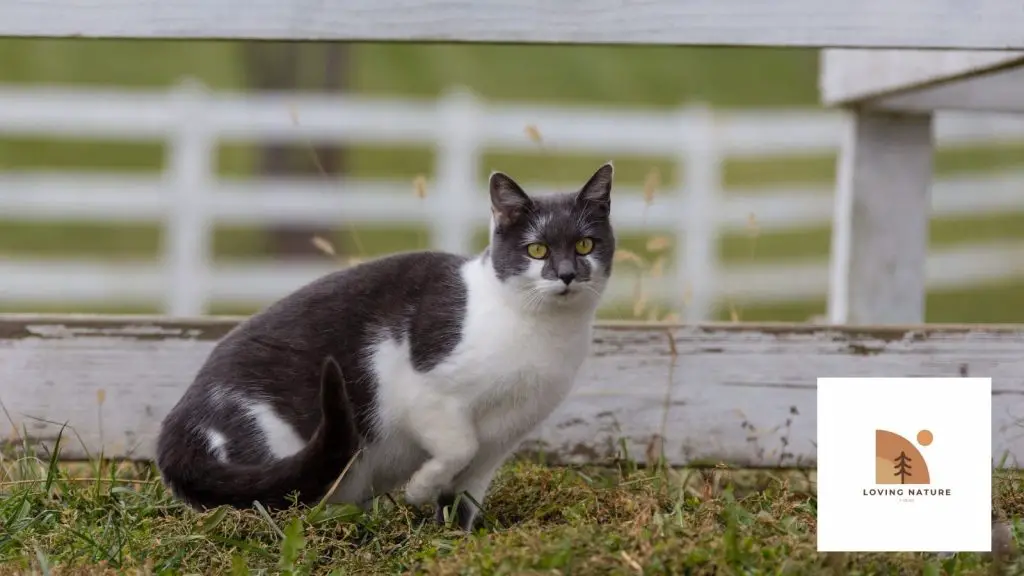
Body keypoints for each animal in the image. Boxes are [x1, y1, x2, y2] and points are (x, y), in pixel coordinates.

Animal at [152, 161, 614, 528]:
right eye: (537, 250)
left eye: (585, 244)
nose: (567, 274)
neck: (540, 331)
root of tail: (176, 427)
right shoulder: (426, 393)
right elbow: (457, 444)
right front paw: (419, 489)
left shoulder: (500, 442)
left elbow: (465, 496)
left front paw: (456, 538)